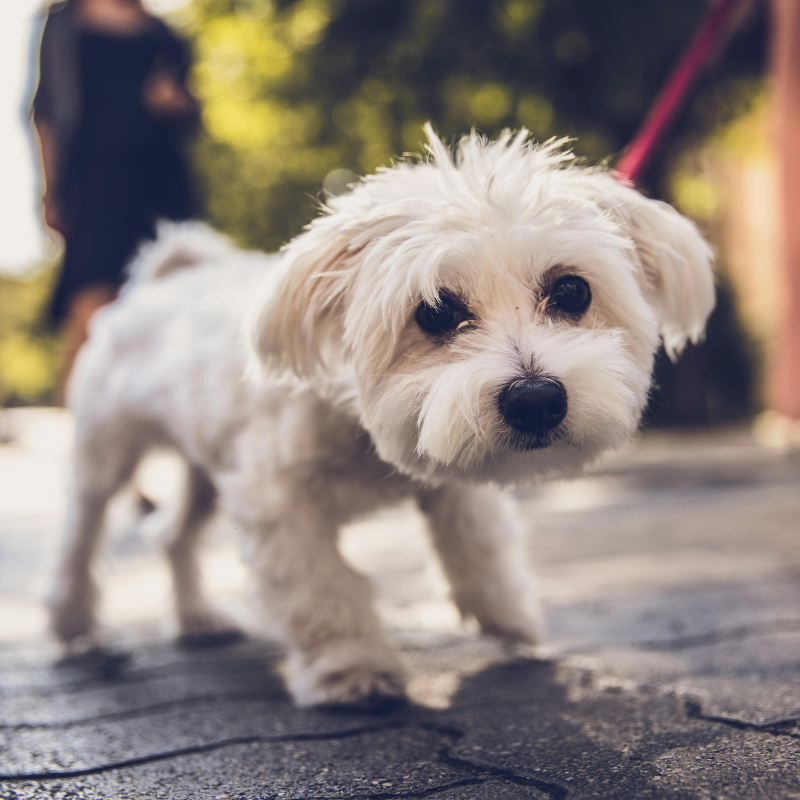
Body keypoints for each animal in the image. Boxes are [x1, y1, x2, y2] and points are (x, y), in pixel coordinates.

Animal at [48, 128, 712, 708]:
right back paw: (70, 618)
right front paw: (350, 668)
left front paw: (508, 618)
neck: (360, 426)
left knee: (172, 534)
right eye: (437, 311)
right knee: (83, 532)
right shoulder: (276, 502)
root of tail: (165, 281)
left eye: (573, 291)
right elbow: (320, 588)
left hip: (206, 470)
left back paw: (196, 618)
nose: (536, 398)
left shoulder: (450, 473)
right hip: (105, 453)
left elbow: (479, 547)